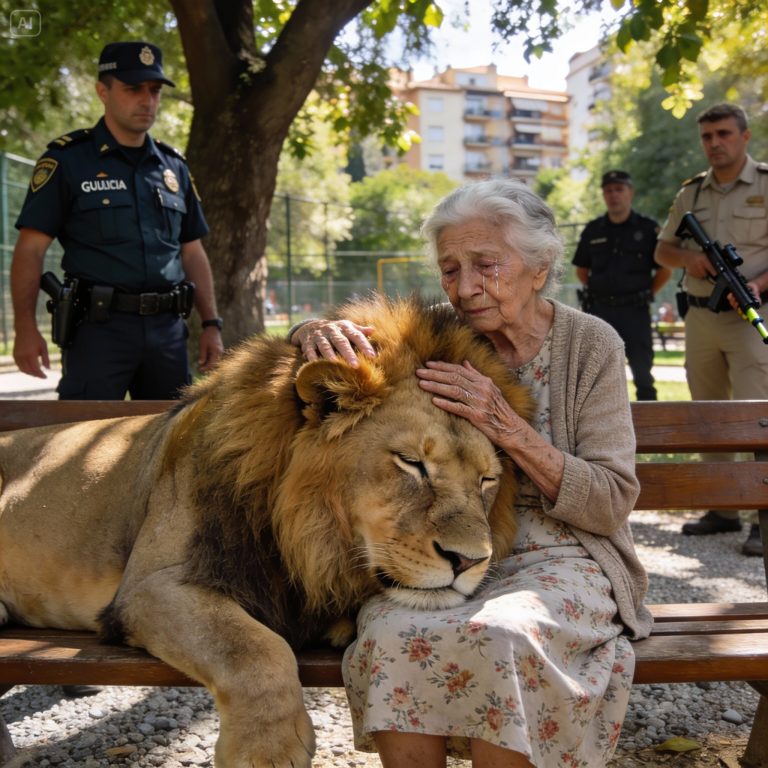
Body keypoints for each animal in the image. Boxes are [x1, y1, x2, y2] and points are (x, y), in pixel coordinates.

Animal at [0, 295, 532, 768]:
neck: (306, 532)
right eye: (411, 463)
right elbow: (252, 648)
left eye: (487, 480)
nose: (470, 560)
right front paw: (267, 751)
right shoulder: (151, 587)